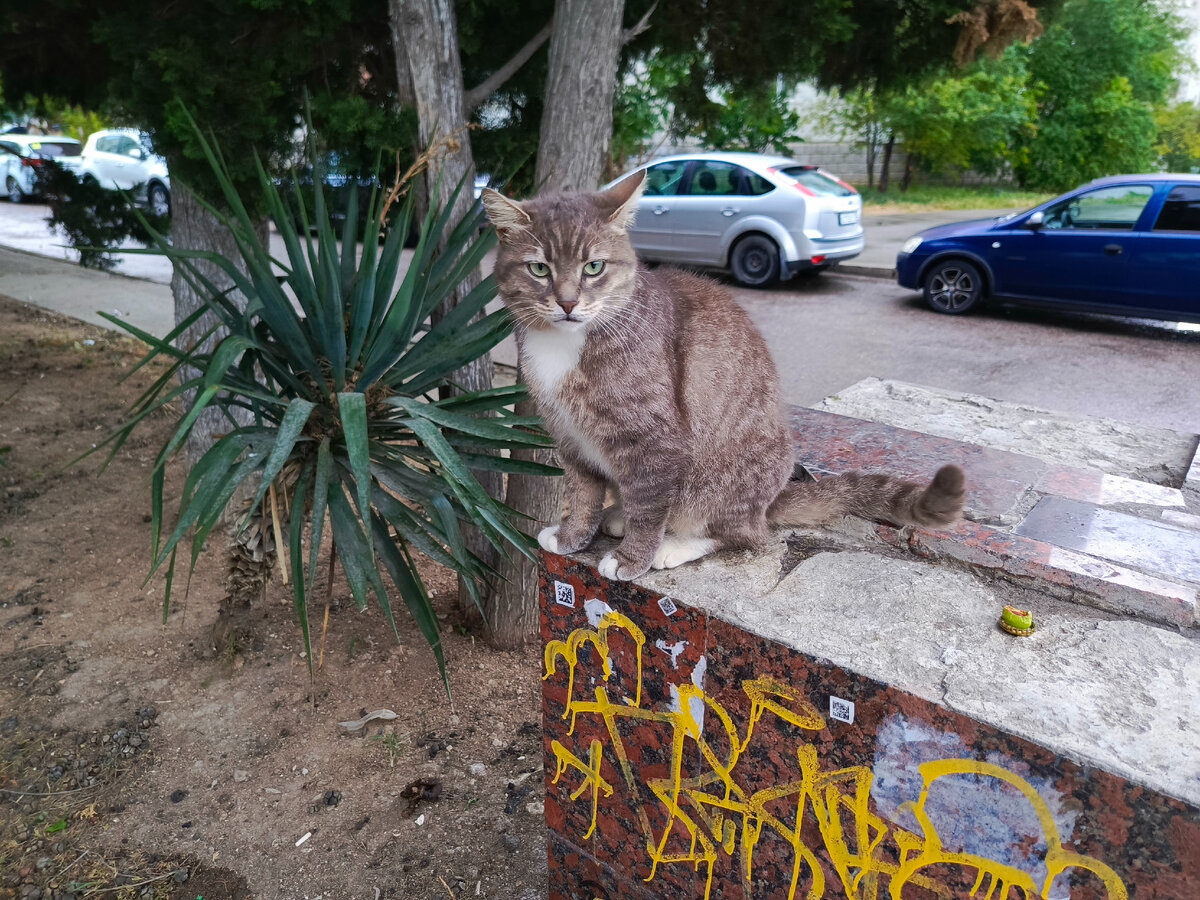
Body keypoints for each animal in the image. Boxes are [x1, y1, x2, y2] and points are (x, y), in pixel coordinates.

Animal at [480, 174, 964, 585]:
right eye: (539, 269)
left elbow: (650, 504)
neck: (566, 344)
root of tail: (772, 501)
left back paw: (673, 543)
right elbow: (583, 492)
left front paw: (633, 558)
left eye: (594, 267)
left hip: (721, 480)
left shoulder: (655, 441)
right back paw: (619, 515)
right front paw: (572, 537)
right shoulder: (569, 436)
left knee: (739, 532)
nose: (566, 303)